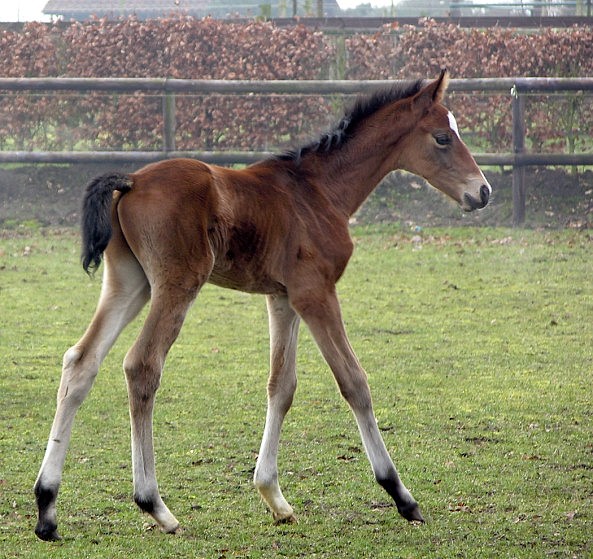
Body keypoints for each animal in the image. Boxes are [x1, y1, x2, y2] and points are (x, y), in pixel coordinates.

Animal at [34, 72, 492, 540]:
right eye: (442, 137)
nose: (482, 191)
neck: (318, 191)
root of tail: (132, 181)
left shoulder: (282, 298)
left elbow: (281, 386)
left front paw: (274, 497)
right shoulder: (315, 293)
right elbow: (354, 383)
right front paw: (401, 495)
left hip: (129, 284)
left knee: (81, 362)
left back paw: (47, 508)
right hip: (176, 284)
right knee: (142, 366)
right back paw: (155, 505)